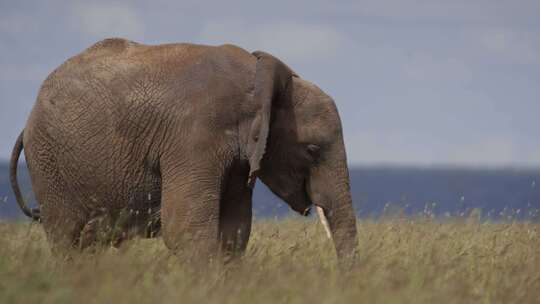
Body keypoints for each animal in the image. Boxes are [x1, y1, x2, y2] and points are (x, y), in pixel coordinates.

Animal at [9, 37, 358, 262]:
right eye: (311, 149)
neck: (257, 77)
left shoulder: (237, 158)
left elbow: (233, 234)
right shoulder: (194, 135)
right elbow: (186, 230)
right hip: (48, 162)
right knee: (66, 238)